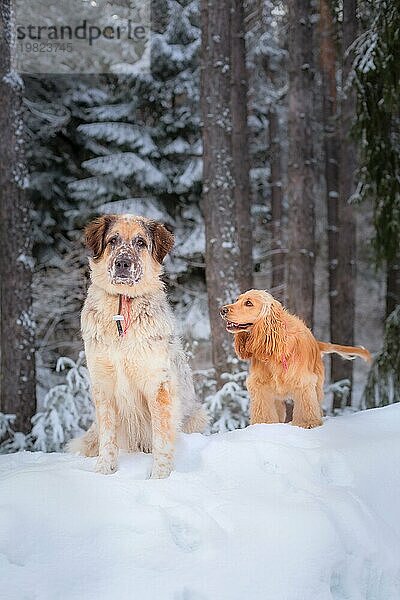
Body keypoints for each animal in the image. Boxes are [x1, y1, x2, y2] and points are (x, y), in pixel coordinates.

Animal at [68, 214, 206, 478]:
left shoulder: (157, 385)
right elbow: (108, 437)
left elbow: (161, 438)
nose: (122, 263)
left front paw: (160, 477)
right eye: (113, 240)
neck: (123, 306)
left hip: (196, 416)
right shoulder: (103, 384)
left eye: (140, 242)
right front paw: (104, 470)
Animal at [220, 290, 370, 426]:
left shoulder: (303, 382)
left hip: (317, 385)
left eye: (248, 303)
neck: (277, 346)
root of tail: (316, 343)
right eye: (237, 299)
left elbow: (306, 407)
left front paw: (308, 423)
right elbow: (264, 411)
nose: (222, 310)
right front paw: (263, 425)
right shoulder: (260, 386)